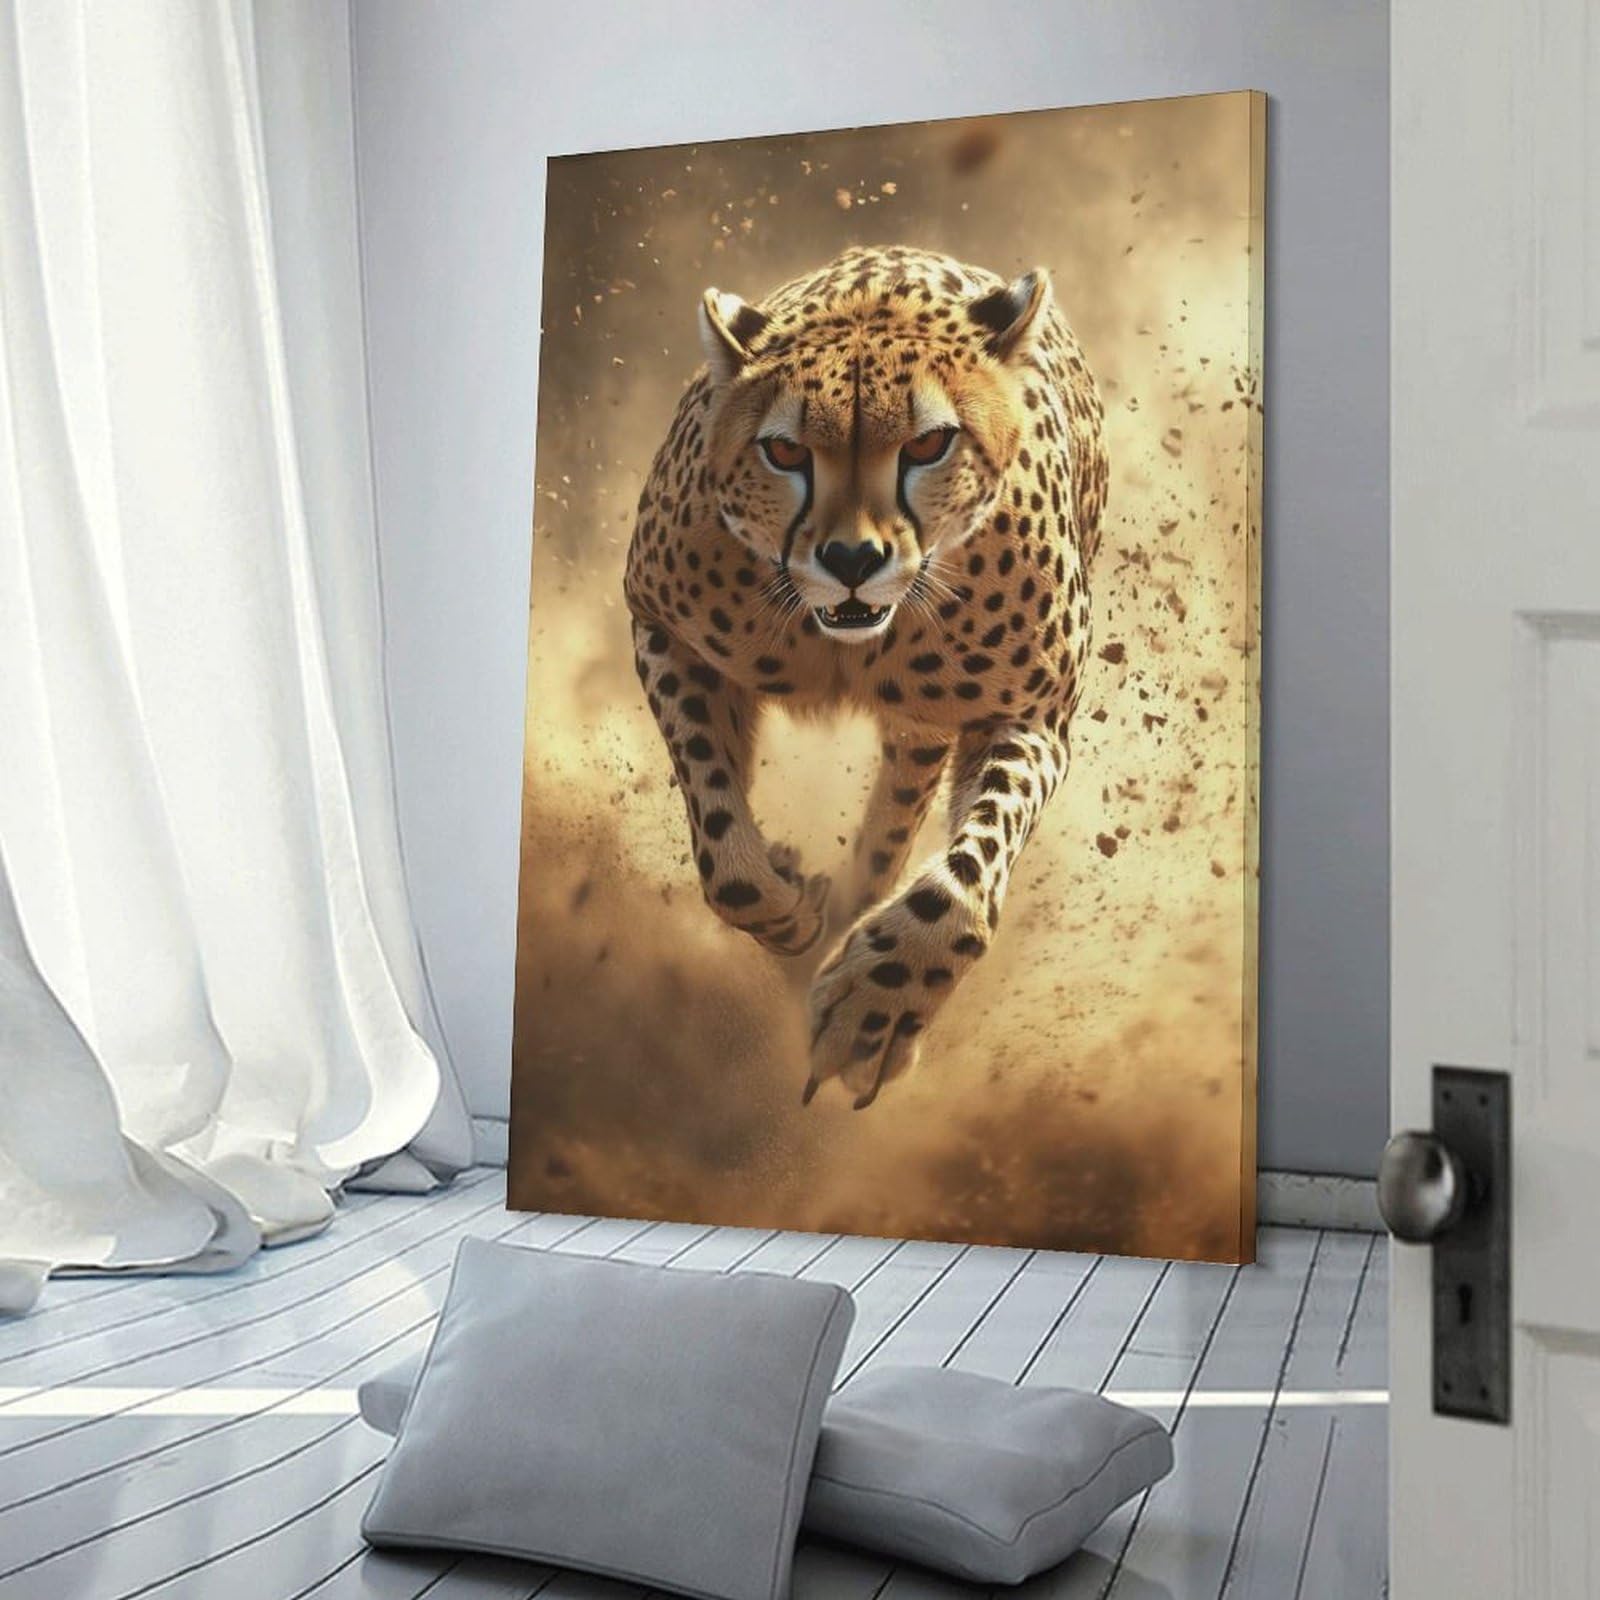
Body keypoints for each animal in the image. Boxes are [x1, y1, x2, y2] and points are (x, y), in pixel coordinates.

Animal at [624, 244, 1108, 1109]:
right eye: (785, 452)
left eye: (928, 445)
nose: (852, 559)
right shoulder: (662, 627)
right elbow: (720, 840)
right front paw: (785, 897)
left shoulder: (1031, 715)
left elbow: (964, 882)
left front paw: (875, 1004)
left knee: (894, 830)